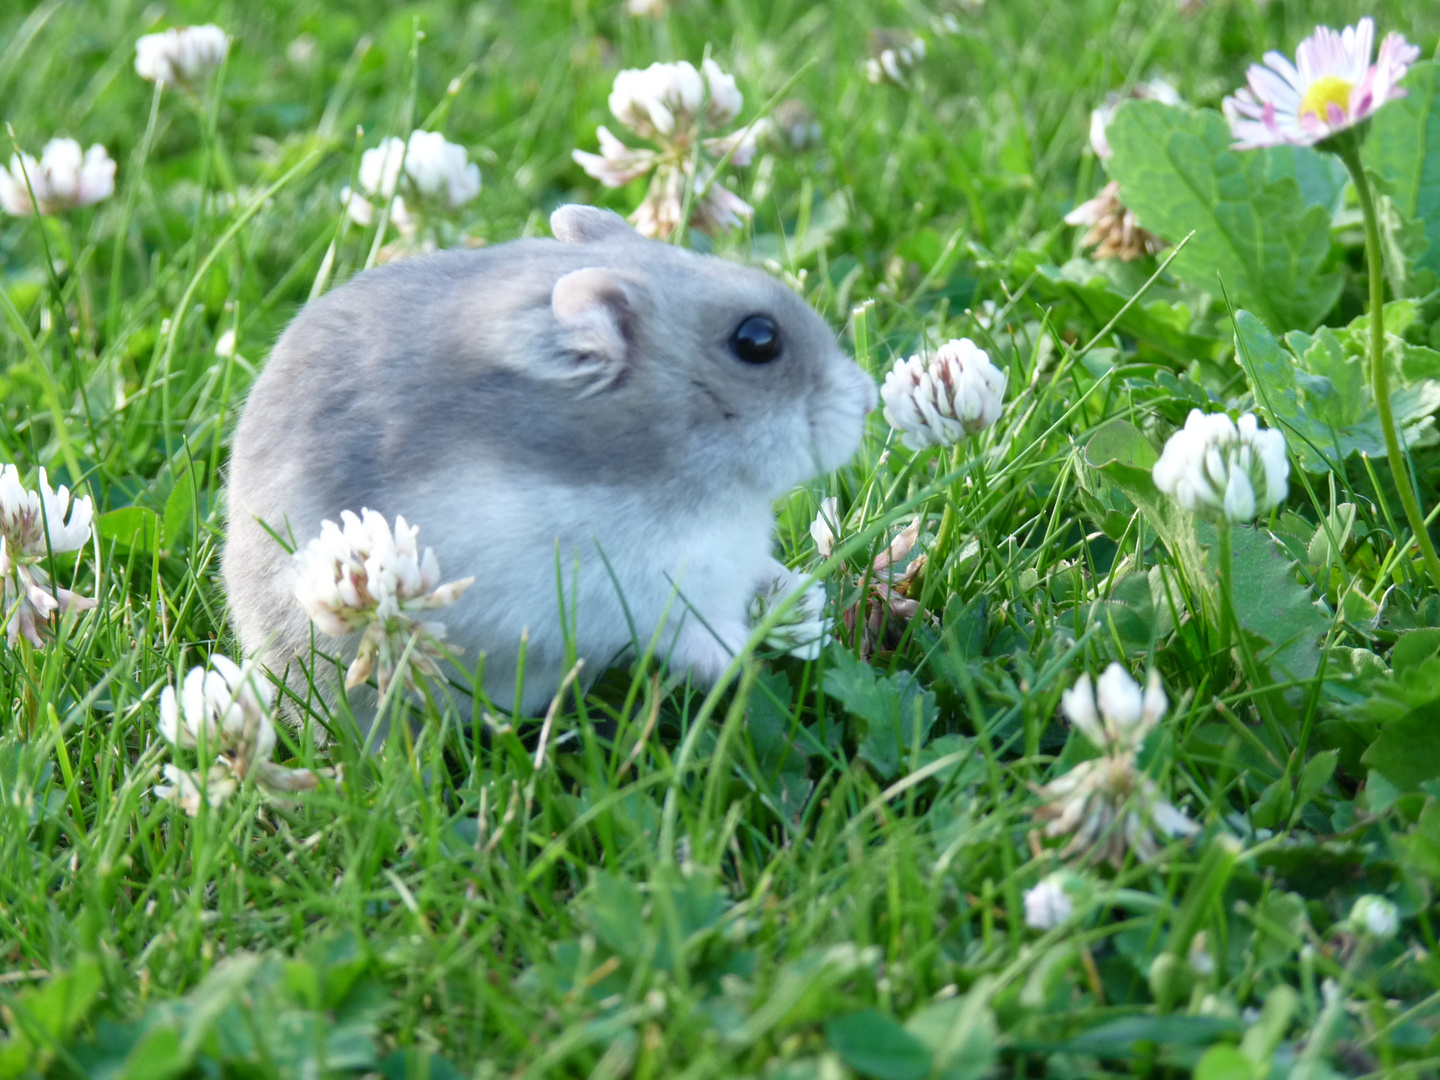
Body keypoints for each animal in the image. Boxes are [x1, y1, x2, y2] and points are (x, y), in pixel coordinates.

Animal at [224, 207, 875, 731]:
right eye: (758, 340)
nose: (868, 401)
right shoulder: (610, 596)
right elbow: (685, 634)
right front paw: (742, 661)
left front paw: (807, 610)